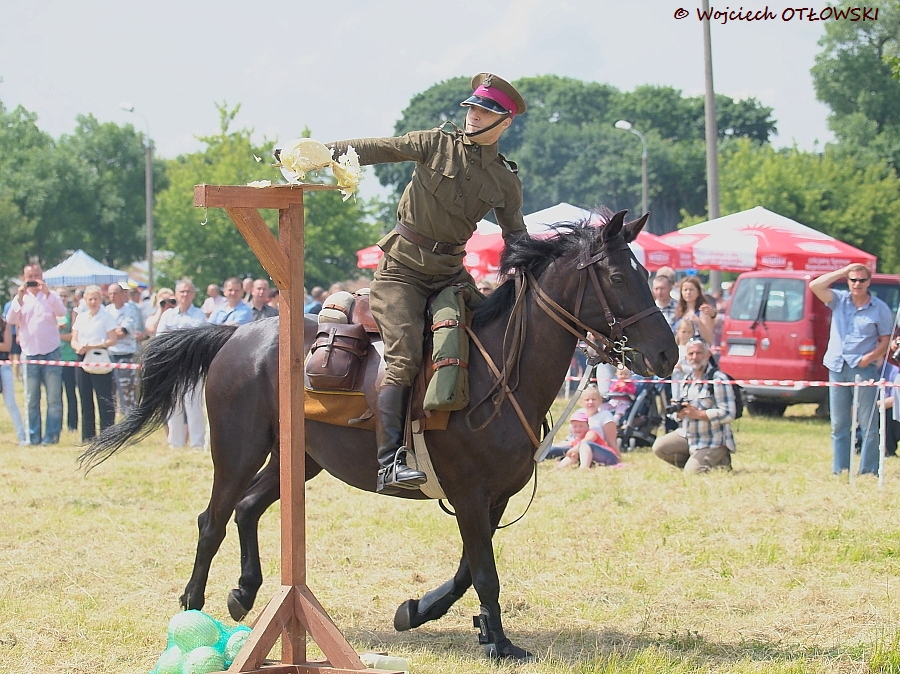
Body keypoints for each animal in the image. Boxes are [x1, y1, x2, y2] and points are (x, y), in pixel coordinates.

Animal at [80, 209, 677, 661]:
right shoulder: (469, 494)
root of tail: (238, 334)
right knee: (214, 519)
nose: (667, 353)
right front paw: (501, 642)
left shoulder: (495, 496)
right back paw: (192, 605)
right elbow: (484, 572)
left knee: (247, 509)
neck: (500, 371)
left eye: (647, 273)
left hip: (300, 460)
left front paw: (424, 613)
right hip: (237, 451)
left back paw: (244, 592)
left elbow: (469, 568)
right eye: (619, 278)